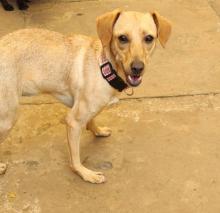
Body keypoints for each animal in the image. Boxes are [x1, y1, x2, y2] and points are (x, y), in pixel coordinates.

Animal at [0, 9, 172, 183]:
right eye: (122, 38)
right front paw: (85, 173)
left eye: (149, 38)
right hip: (8, 118)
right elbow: (75, 158)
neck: (104, 67)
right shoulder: (73, 121)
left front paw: (97, 130)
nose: (137, 68)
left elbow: (92, 118)